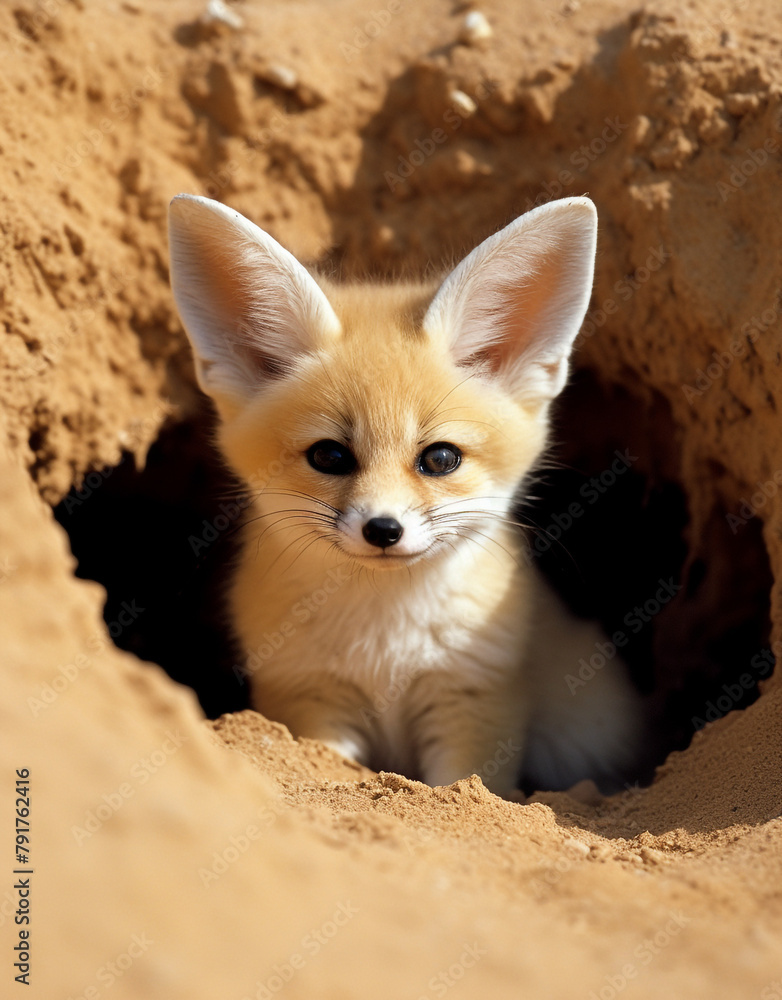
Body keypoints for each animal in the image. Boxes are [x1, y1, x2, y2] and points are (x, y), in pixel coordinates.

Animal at [167, 193, 641, 798]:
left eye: (440, 459)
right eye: (330, 456)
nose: (384, 530)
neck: (384, 648)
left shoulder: (473, 694)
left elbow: (464, 785)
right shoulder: (309, 697)